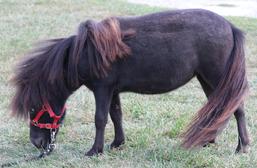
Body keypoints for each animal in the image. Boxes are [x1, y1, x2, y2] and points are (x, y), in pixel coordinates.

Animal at [10, 9, 248, 156]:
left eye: (33, 108)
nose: (38, 144)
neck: (86, 52)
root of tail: (230, 26)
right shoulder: (112, 91)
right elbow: (116, 115)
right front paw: (117, 143)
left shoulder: (102, 89)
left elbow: (100, 119)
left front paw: (94, 151)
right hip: (207, 79)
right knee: (219, 108)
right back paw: (208, 141)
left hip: (216, 77)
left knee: (235, 108)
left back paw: (242, 147)